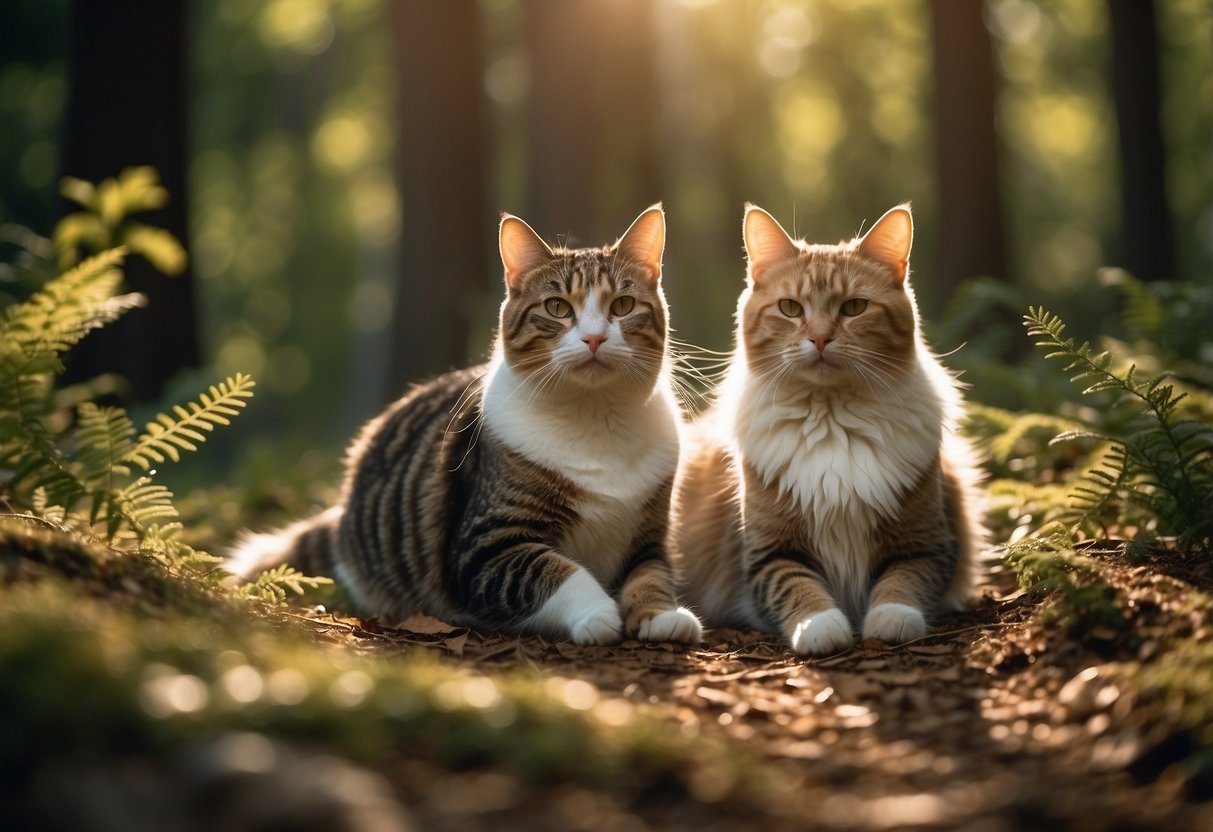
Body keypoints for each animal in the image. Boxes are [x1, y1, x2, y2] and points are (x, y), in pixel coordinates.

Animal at [229, 207, 703, 645]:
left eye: (622, 305)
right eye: (557, 307)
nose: (594, 338)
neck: (595, 420)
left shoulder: (650, 536)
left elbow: (652, 573)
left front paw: (661, 614)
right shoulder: (485, 547)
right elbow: (554, 570)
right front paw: (597, 613)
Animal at [674, 203, 984, 659]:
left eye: (854, 307)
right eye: (790, 308)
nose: (820, 338)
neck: (832, 421)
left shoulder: (926, 543)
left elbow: (901, 584)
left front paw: (891, 621)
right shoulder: (771, 553)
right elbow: (800, 589)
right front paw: (821, 628)